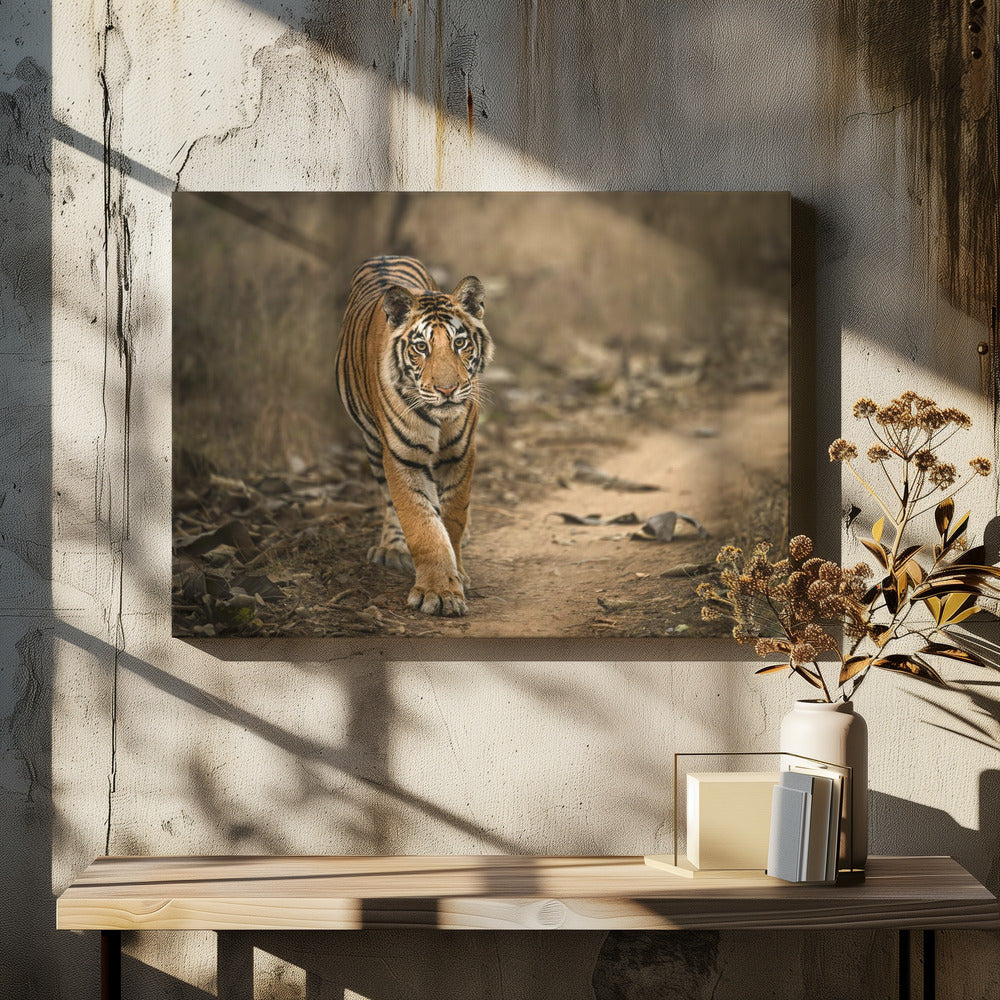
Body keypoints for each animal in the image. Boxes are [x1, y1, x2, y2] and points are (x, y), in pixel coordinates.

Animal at [335, 255, 494, 617]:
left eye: (459, 343)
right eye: (421, 347)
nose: (447, 390)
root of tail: (385, 256)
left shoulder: (461, 454)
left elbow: (452, 517)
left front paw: (456, 576)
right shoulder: (402, 457)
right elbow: (423, 526)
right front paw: (438, 592)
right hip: (372, 443)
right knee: (388, 499)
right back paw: (392, 549)